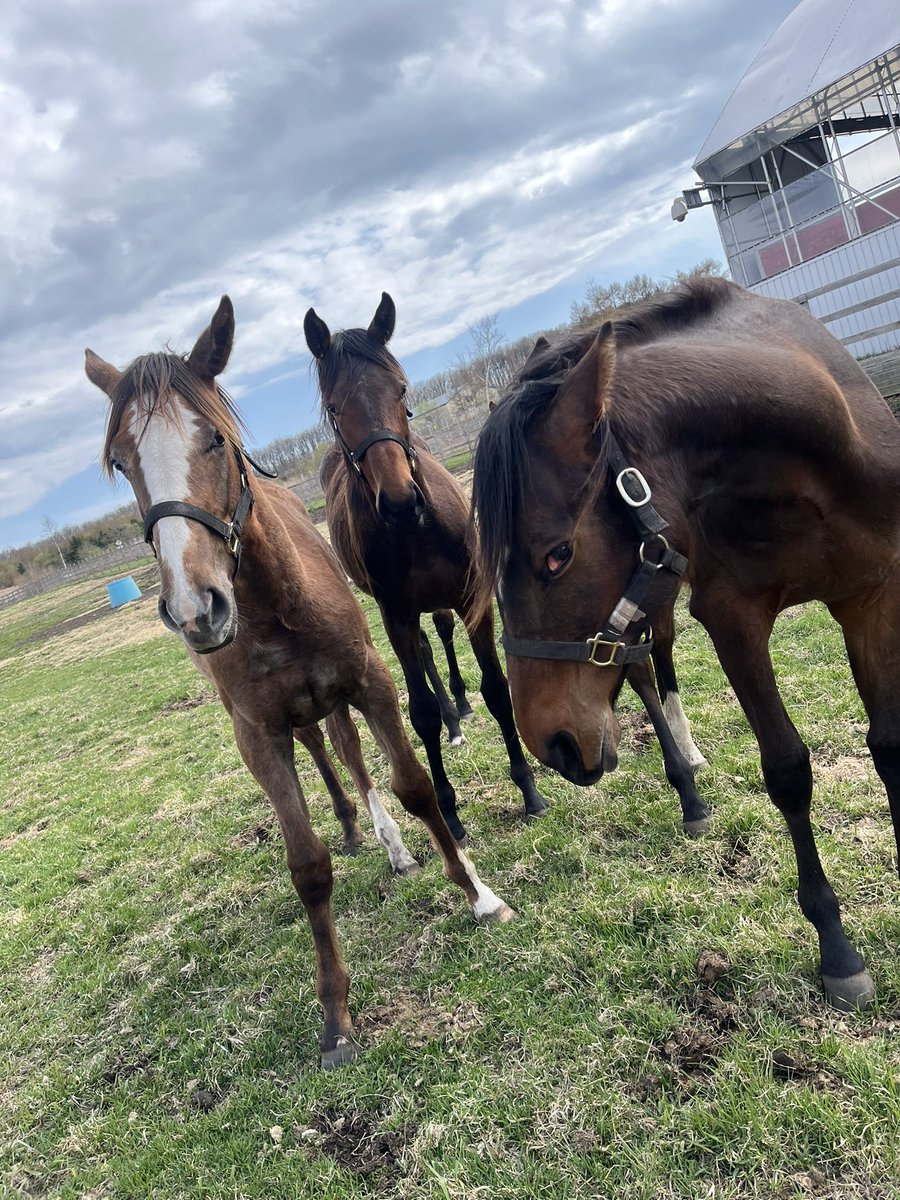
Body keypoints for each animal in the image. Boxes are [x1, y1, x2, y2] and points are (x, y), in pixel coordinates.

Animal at [84, 296, 513, 1070]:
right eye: (121, 462)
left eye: (215, 441)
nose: (195, 608)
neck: (277, 606)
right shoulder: (258, 735)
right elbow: (308, 865)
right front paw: (336, 1017)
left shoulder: (372, 678)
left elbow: (414, 783)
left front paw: (479, 894)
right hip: (296, 714)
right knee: (329, 755)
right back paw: (355, 826)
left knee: (353, 750)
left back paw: (395, 841)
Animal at [304, 295, 709, 841]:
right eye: (333, 408)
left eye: (402, 390)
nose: (399, 500)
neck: (414, 533)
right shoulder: (395, 615)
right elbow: (421, 711)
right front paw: (449, 812)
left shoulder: (476, 597)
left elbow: (502, 689)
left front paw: (533, 791)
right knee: (430, 653)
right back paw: (453, 717)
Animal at [470, 274, 900, 1011]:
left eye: (557, 554)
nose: (553, 743)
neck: (806, 456)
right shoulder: (733, 617)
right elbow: (788, 770)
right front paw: (838, 952)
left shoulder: (873, 594)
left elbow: (891, 746)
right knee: (645, 670)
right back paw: (689, 793)